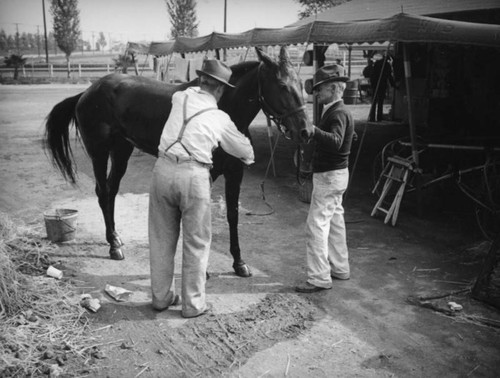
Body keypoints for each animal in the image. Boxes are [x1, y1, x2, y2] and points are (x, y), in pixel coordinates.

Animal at [45, 47, 310, 278]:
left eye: (300, 83)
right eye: (283, 86)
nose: (305, 131)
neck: (221, 110)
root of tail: (88, 92)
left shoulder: (235, 173)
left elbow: (233, 216)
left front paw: (239, 263)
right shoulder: (206, 174)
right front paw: (203, 269)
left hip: (121, 152)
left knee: (111, 191)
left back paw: (116, 239)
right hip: (99, 153)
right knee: (102, 192)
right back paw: (113, 246)